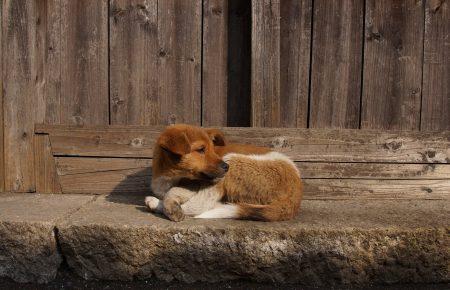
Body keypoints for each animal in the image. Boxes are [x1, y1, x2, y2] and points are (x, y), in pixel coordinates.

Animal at [146, 124, 304, 222]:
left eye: (213, 149)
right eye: (201, 149)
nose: (225, 167)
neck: (169, 175)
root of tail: (296, 196)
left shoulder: (196, 184)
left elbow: (173, 191)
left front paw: (167, 205)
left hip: (232, 162)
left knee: (201, 205)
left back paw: (155, 203)